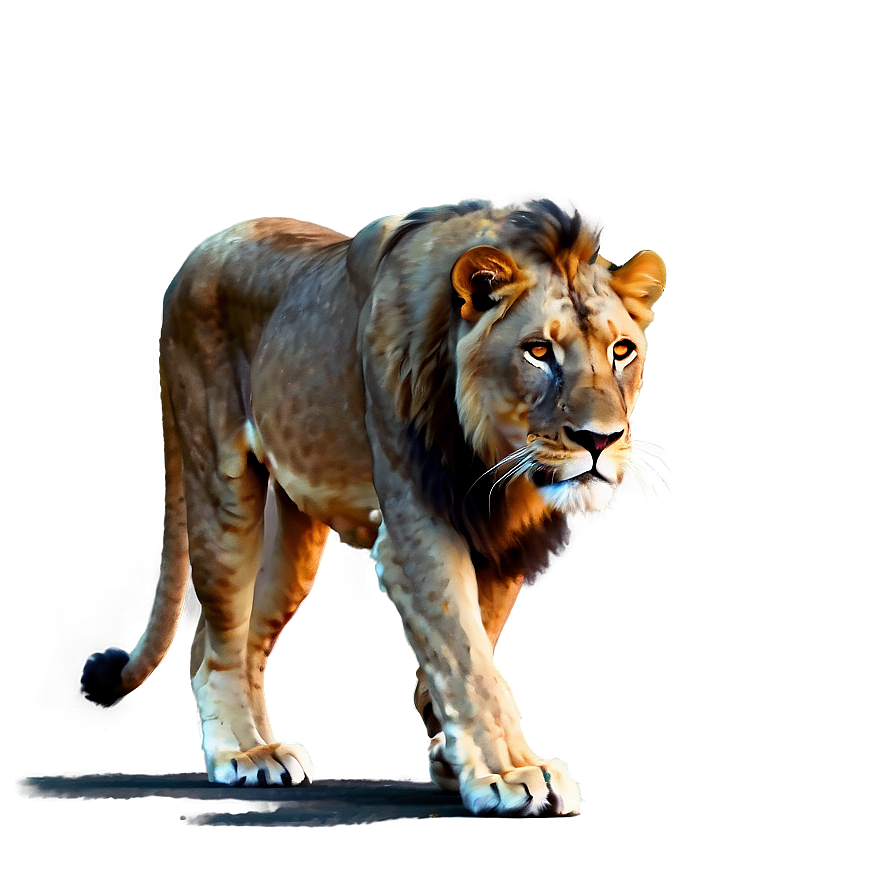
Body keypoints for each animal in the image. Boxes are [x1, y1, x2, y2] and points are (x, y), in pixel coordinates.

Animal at [81, 199, 666, 817]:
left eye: (621, 351)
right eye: (538, 351)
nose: (599, 440)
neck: (493, 463)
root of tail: (197, 254)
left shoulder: (504, 539)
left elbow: (473, 642)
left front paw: (448, 747)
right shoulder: (416, 530)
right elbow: (469, 658)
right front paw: (514, 773)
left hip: (297, 545)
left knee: (240, 641)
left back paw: (267, 750)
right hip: (222, 485)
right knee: (217, 645)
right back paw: (242, 753)